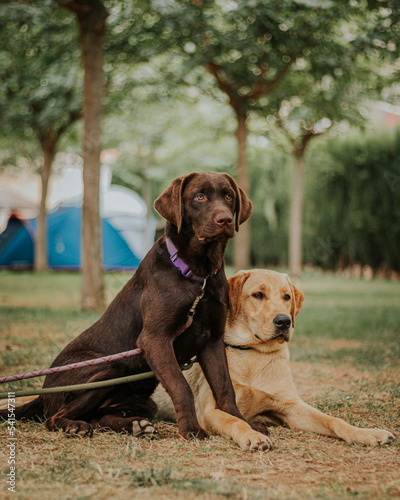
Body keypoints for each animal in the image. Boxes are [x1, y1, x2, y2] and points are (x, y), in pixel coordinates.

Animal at [1, 172, 258, 442]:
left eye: (228, 196)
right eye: (199, 196)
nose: (225, 220)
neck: (199, 276)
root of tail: (43, 394)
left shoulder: (213, 340)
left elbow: (225, 388)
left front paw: (244, 423)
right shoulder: (155, 339)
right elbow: (181, 387)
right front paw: (191, 428)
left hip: (144, 400)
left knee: (99, 417)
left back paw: (137, 425)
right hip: (111, 368)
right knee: (56, 417)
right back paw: (74, 426)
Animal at [152, 270, 394, 450]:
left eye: (287, 297)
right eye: (258, 295)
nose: (284, 321)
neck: (253, 355)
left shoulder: (291, 407)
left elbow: (333, 420)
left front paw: (366, 433)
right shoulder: (209, 410)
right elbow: (234, 420)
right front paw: (252, 435)